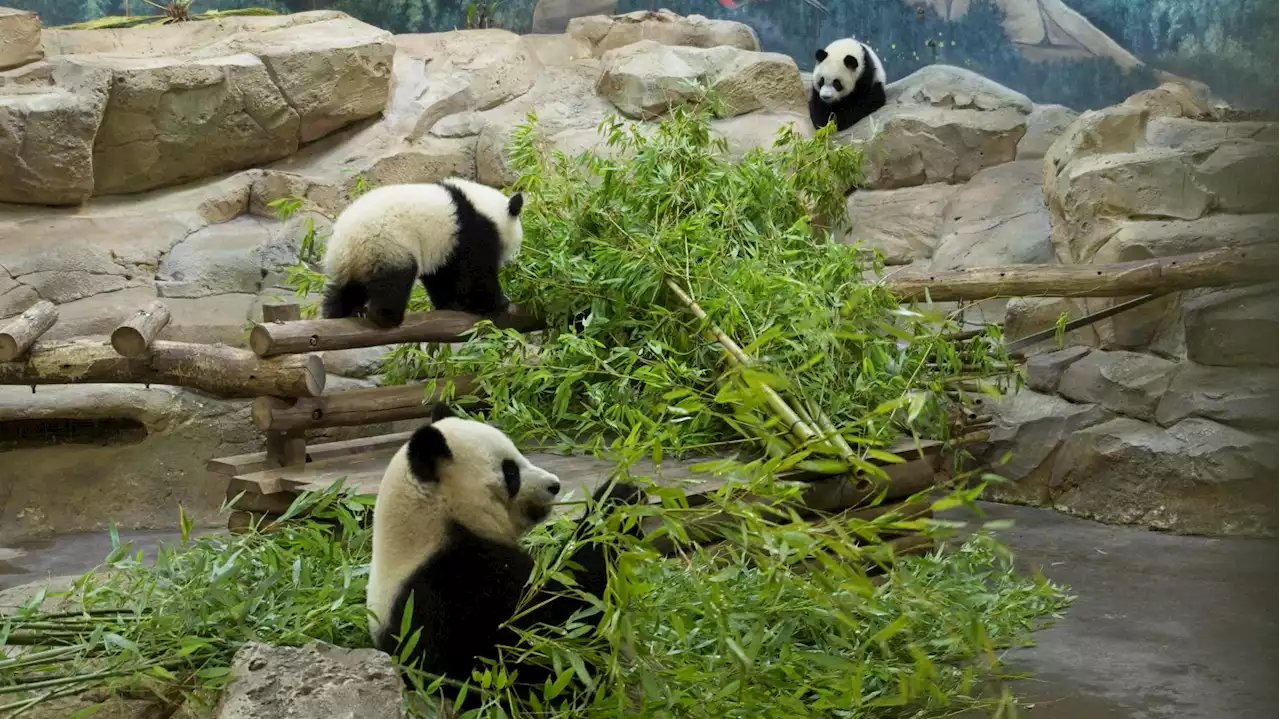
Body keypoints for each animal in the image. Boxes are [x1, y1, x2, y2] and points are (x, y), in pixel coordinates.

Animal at [320, 176, 524, 327]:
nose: (509, 260)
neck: (486, 208)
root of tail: (345, 242)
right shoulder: (471, 231)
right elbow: (476, 273)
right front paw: (499, 303)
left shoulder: (445, 246)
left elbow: (440, 275)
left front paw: (451, 304)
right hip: (386, 244)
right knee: (395, 280)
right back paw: (387, 318)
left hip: (354, 261)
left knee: (345, 288)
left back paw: (344, 313)